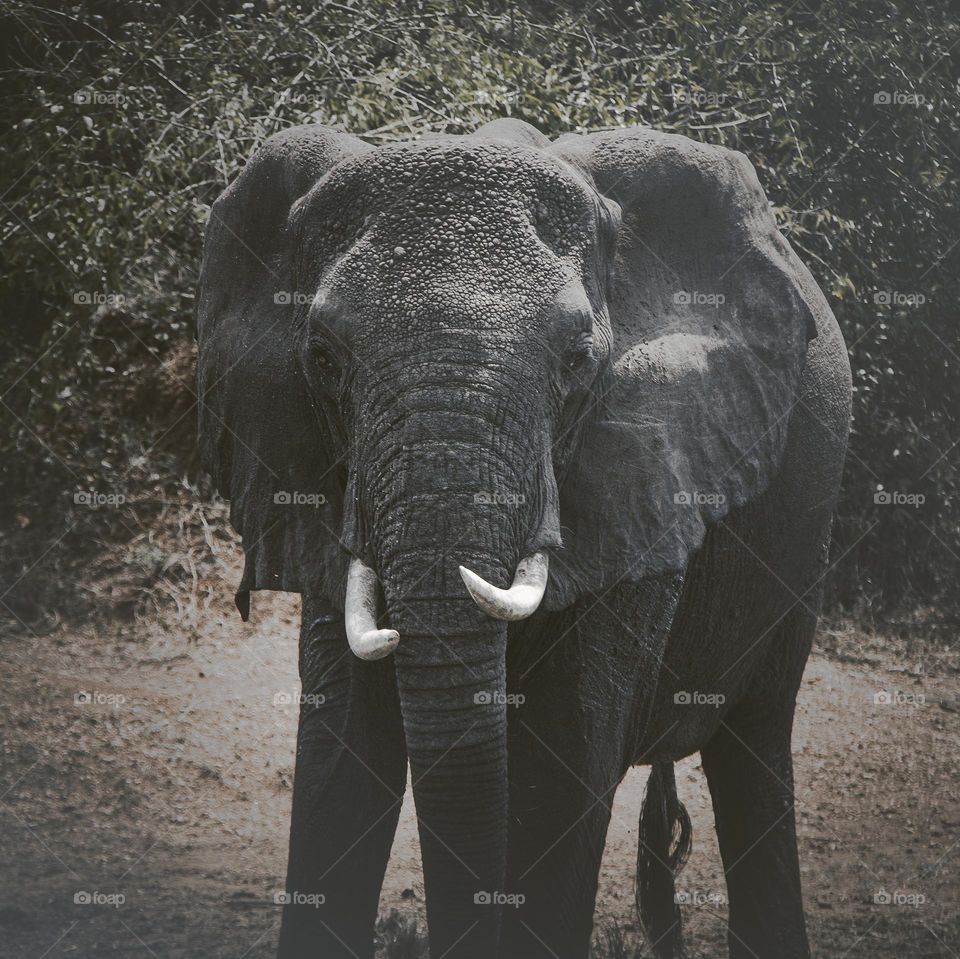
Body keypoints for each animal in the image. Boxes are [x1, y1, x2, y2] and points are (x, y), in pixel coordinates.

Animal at [195, 117, 851, 959]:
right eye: (323, 360)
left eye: (577, 361)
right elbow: (342, 759)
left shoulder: (646, 467)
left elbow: (564, 762)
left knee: (754, 749)